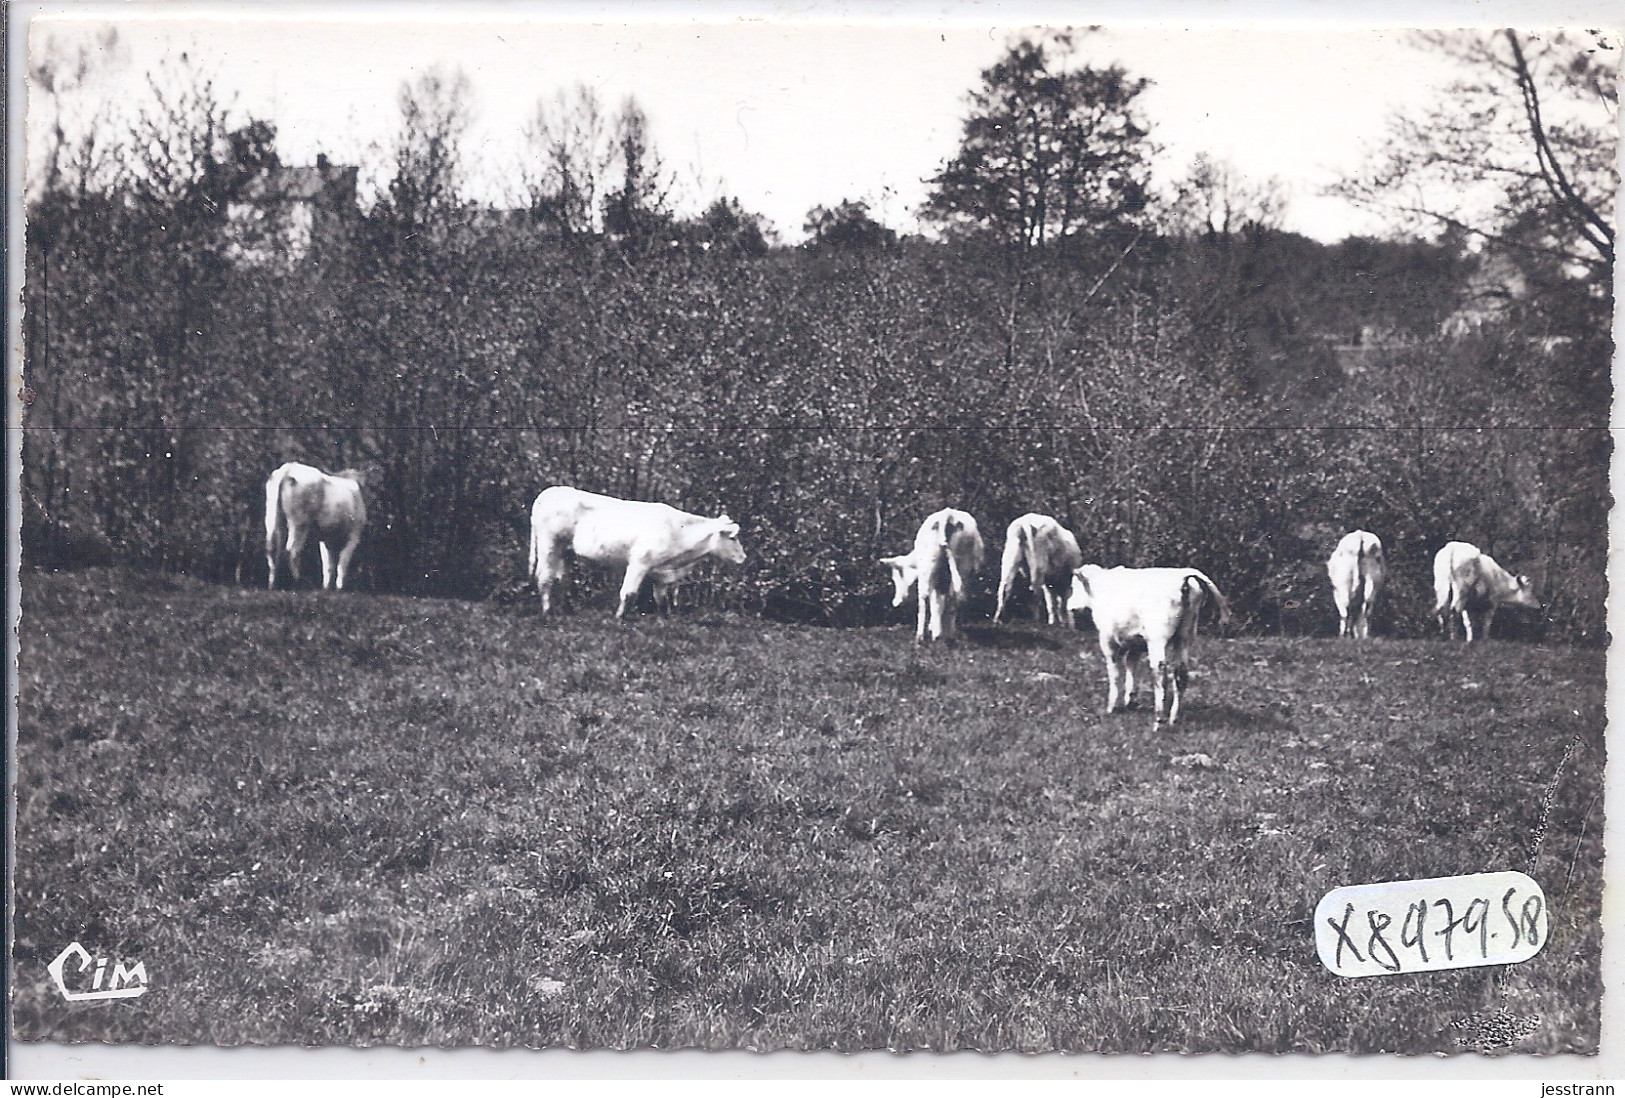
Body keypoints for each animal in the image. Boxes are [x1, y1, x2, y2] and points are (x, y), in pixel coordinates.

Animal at [264, 458, 367, 587]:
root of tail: (288, 468)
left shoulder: (326, 540)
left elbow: (328, 566)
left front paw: (326, 587)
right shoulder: (354, 535)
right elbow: (343, 563)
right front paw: (339, 586)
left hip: (272, 517)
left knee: (272, 548)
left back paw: (273, 584)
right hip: (299, 523)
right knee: (292, 550)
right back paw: (297, 581)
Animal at [529, 487, 744, 617]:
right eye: (733, 537)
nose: (744, 558)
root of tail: (549, 492)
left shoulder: (660, 571)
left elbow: (661, 598)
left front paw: (663, 617)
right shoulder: (639, 562)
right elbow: (629, 592)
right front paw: (620, 617)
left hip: (565, 550)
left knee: (561, 579)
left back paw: (566, 610)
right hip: (549, 544)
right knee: (545, 577)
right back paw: (547, 611)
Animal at [884, 506, 981, 643]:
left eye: (897, 577)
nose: (895, 602)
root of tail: (948, 515)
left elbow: (933, 599)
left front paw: (934, 630)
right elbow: (939, 599)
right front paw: (937, 629)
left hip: (929, 563)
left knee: (924, 596)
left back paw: (920, 636)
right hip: (963, 564)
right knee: (954, 596)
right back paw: (950, 635)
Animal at [1066, 565, 1228, 727]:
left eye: (1074, 586)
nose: (1070, 607)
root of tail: (1183, 575)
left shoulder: (1108, 639)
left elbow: (1115, 671)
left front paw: (1112, 706)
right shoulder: (1135, 642)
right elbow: (1132, 666)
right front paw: (1130, 701)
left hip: (1157, 638)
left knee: (1160, 671)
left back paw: (1158, 718)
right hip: (1184, 637)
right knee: (1181, 673)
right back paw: (1173, 718)